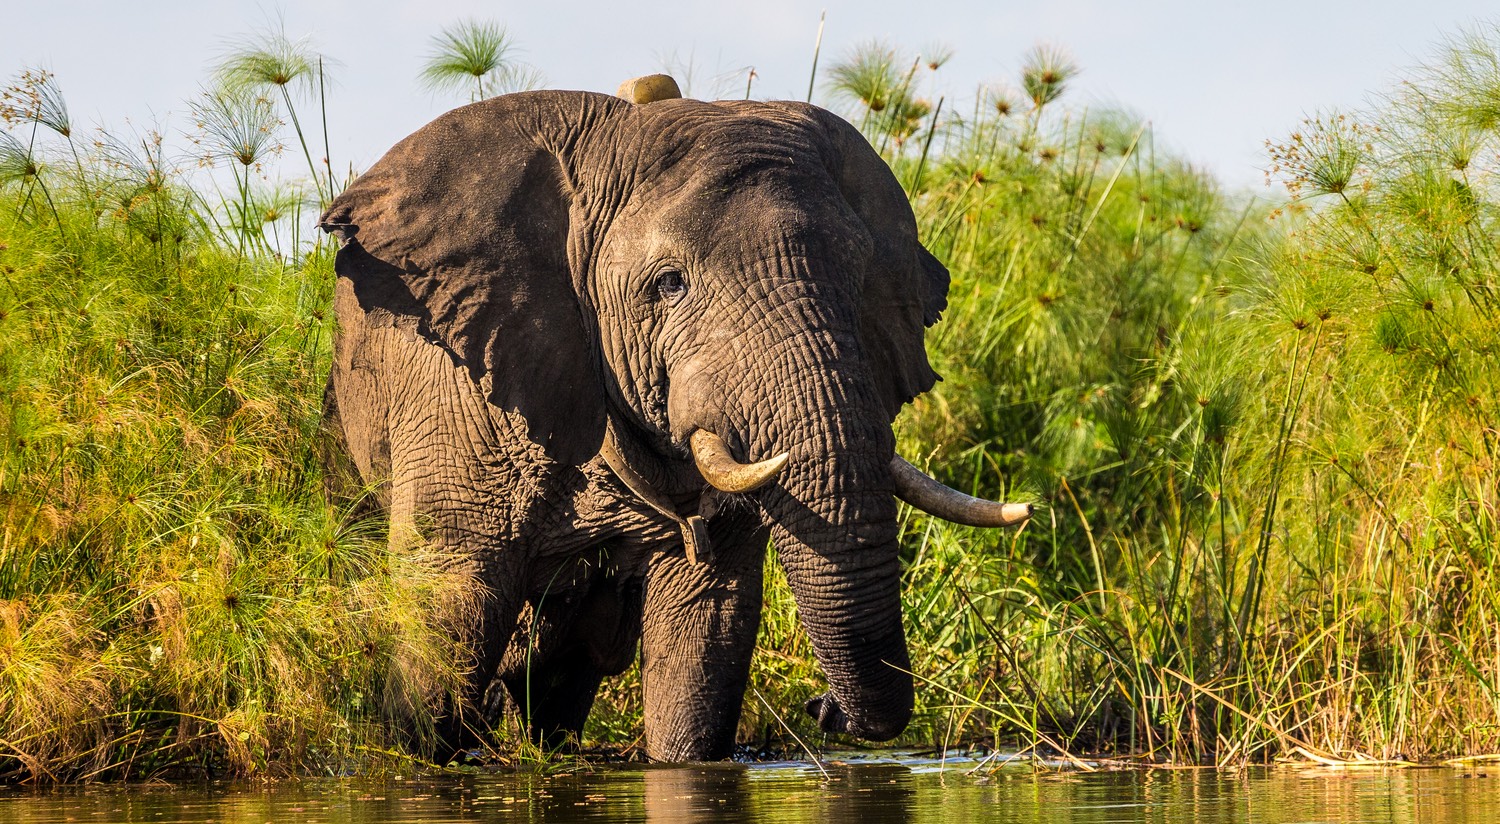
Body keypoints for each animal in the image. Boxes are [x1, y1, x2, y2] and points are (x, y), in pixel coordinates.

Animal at [319, 73, 1032, 762]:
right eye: (668, 285)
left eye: (862, 280)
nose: (822, 707)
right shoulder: (457, 390)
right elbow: (449, 606)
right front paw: (420, 760)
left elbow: (704, 629)